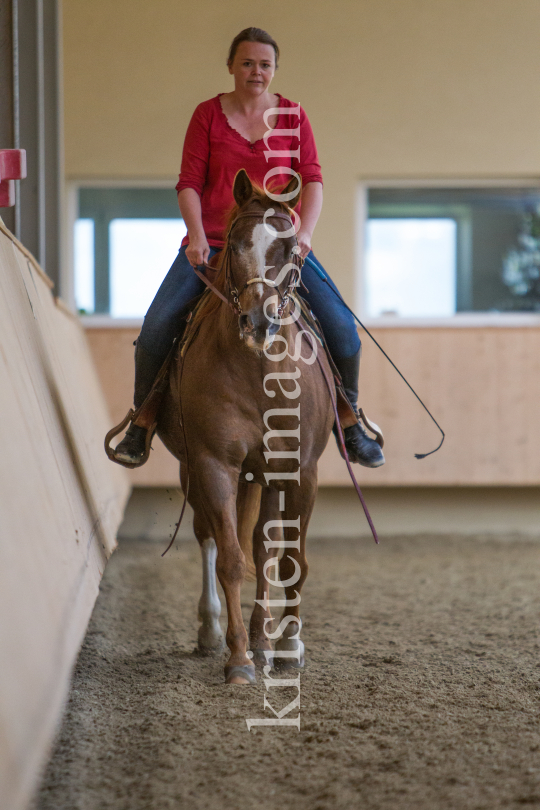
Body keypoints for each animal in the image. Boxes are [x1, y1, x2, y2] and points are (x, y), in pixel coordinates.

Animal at [155, 169, 334, 680]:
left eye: (290, 247)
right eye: (233, 244)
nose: (259, 319)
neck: (260, 371)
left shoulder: (301, 469)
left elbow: (288, 557)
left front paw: (288, 645)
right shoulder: (214, 463)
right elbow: (230, 559)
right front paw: (237, 657)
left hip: (265, 475)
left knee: (263, 547)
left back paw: (264, 636)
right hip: (196, 471)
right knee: (210, 539)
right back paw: (214, 631)